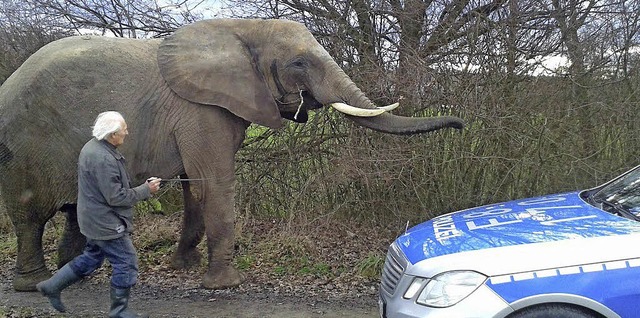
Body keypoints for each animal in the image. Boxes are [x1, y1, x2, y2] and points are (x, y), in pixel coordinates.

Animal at [0, 16, 462, 290]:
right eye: (299, 63)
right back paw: (34, 283)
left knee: (74, 210)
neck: (243, 29)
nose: (460, 124)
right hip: (23, 144)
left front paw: (183, 269)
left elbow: (194, 189)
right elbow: (215, 184)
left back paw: (75, 277)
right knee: (30, 213)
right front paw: (225, 284)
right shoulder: (201, 110)